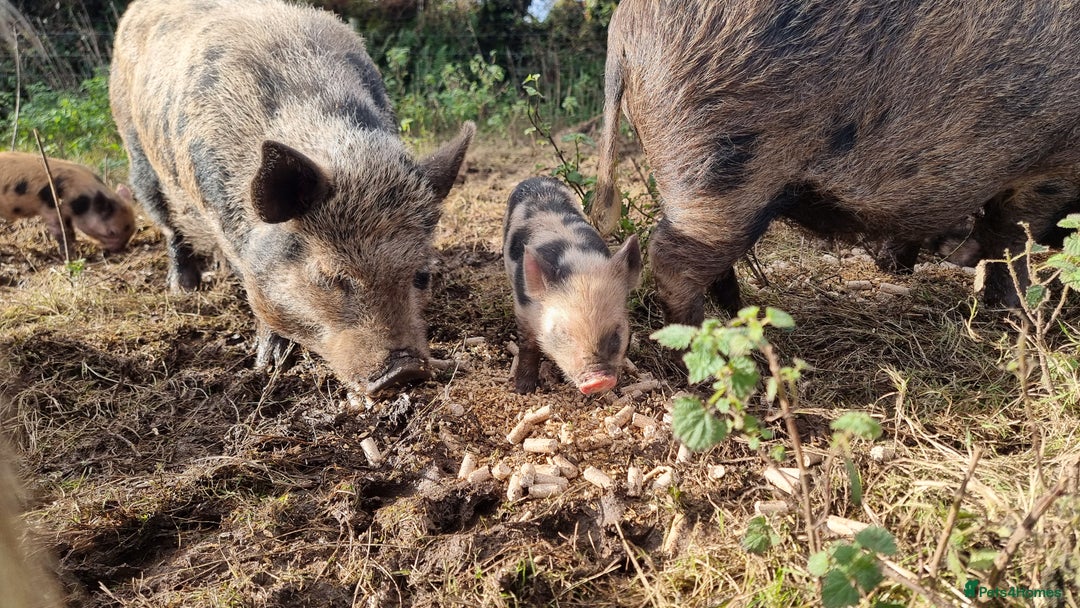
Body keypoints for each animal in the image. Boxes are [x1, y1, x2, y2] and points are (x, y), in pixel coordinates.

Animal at [0, 151, 136, 255]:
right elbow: (61, 231)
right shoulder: (51, 208)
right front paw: (68, 253)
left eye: (132, 229)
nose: (119, 250)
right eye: (112, 232)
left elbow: (70, 229)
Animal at [110, 0, 474, 394]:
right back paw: (184, 289)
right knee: (169, 225)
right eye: (331, 276)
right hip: (137, 152)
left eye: (421, 274)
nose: (405, 371)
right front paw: (271, 365)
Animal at [503, 177, 641, 394]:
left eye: (616, 332)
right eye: (563, 333)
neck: (578, 262)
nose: (598, 381)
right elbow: (528, 346)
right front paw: (524, 390)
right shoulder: (522, 308)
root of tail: (537, 179)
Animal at [592, 0, 1080, 323]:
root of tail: (624, 34)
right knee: (672, 257)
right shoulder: (1049, 167)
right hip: (720, 161)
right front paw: (1024, 314)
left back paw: (744, 315)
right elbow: (1012, 242)